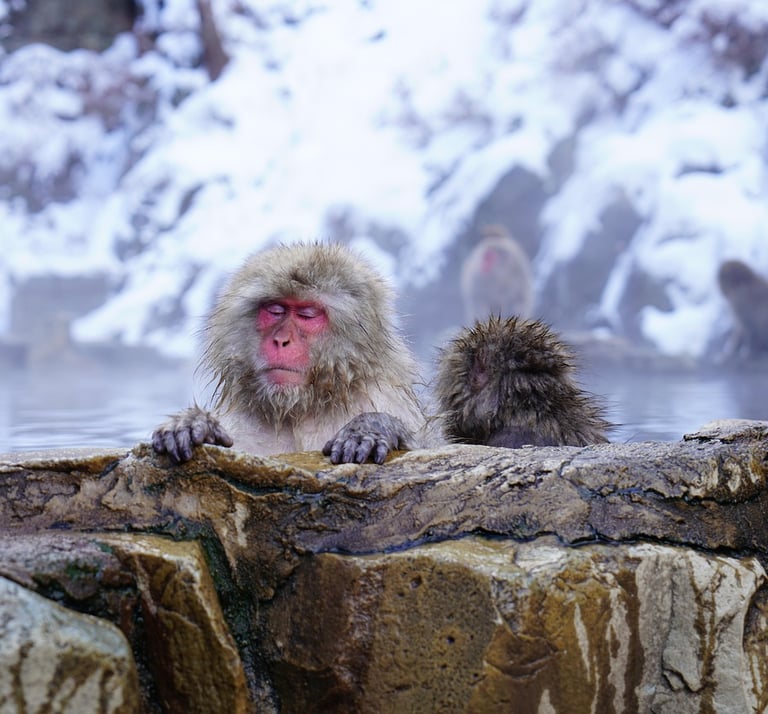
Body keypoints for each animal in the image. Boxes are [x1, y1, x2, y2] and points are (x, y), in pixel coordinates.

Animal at [152, 242, 426, 465]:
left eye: (307, 314)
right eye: (275, 310)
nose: (281, 340)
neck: (300, 409)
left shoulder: (385, 399)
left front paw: (370, 428)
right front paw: (194, 424)